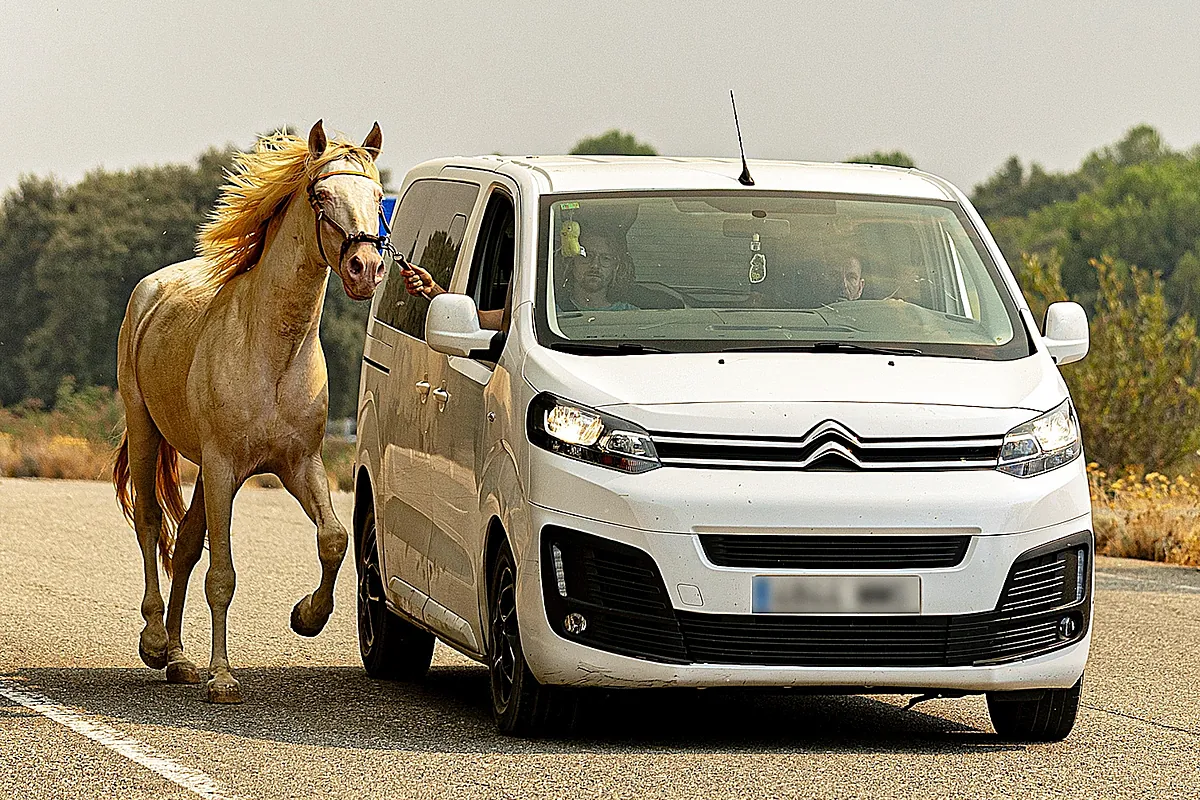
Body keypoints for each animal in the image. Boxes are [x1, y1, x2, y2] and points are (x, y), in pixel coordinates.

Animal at [112, 121, 387, 703]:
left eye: (378, 198)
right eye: (321, 195)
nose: (365, 269)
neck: (272, 350)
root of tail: (151, 289)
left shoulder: (298, 465)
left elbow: (333, 539)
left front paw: (307, 616)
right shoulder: (222, 467)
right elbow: (223, 576)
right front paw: (222, 678)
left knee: (184, 544)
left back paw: (179, 659)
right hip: (148, 431)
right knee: (150, 524)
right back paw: (155, 642)